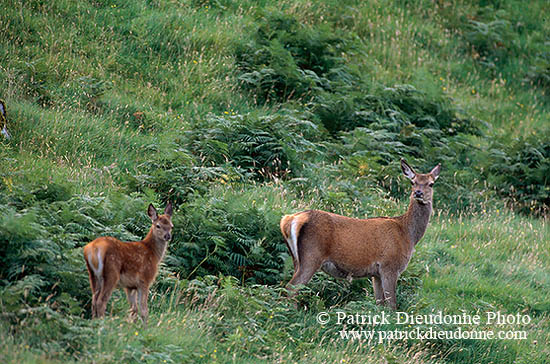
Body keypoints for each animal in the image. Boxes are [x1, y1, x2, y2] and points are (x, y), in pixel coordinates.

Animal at [282, 160, 442, 310]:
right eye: (412, 182)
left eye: (431, 184)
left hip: (296, 259)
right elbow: (392, 305)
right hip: (311, 255)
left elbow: (379, 303)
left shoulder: (376, 273)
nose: (418, 193)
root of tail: (290, 220)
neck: (408, 234)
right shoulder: (389, 266)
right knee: (291, 288)